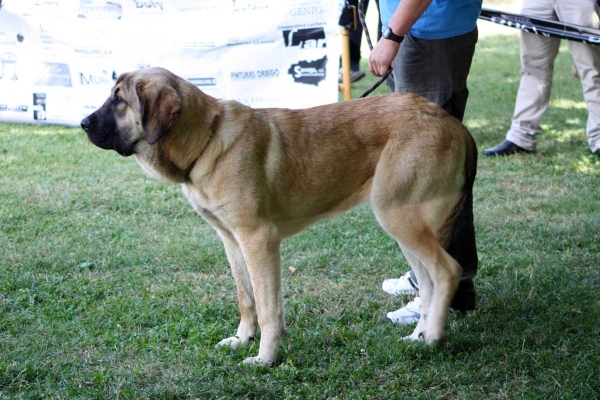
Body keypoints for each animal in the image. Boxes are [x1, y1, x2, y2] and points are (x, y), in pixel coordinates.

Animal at [83, 66, 478, 366]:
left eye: (119, 100)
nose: (84, 123)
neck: (205, 141)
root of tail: (454, 124)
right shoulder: (231, 241)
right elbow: (246, 298)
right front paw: (243, 339)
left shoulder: (259, 240)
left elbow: (268, 306)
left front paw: (265, 358)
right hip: (404, 224)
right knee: (428, 283)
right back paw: (417, 336)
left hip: (399, 217)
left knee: (447, 271)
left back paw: (434, 338)